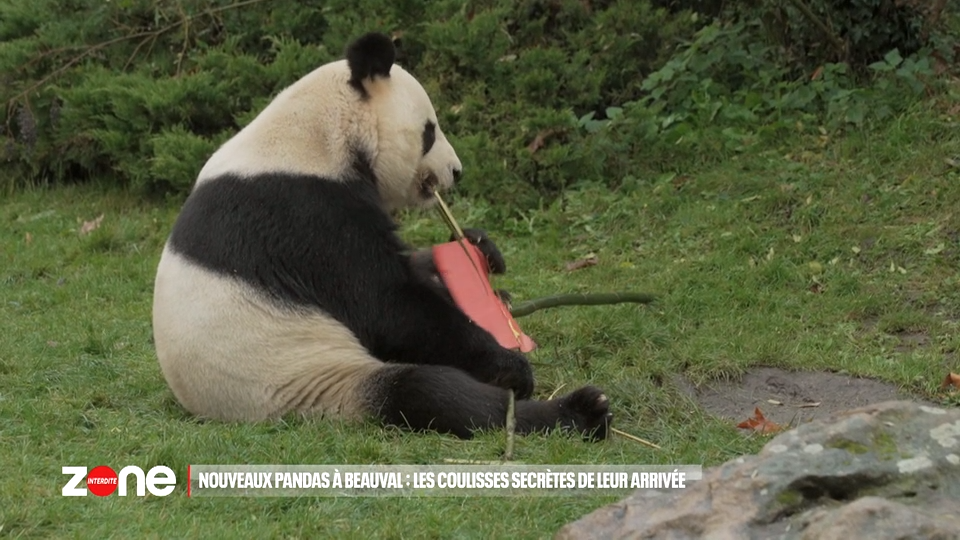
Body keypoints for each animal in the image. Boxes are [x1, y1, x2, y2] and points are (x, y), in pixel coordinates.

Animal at [152, 32, 612, 441]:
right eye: (430, 131)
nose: (456, 171)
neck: (316, 134)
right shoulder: (304, 212)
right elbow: (388, 304)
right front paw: (511, 365)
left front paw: (481, 251)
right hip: (311, 381)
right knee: (433, 393)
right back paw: (581, 412)